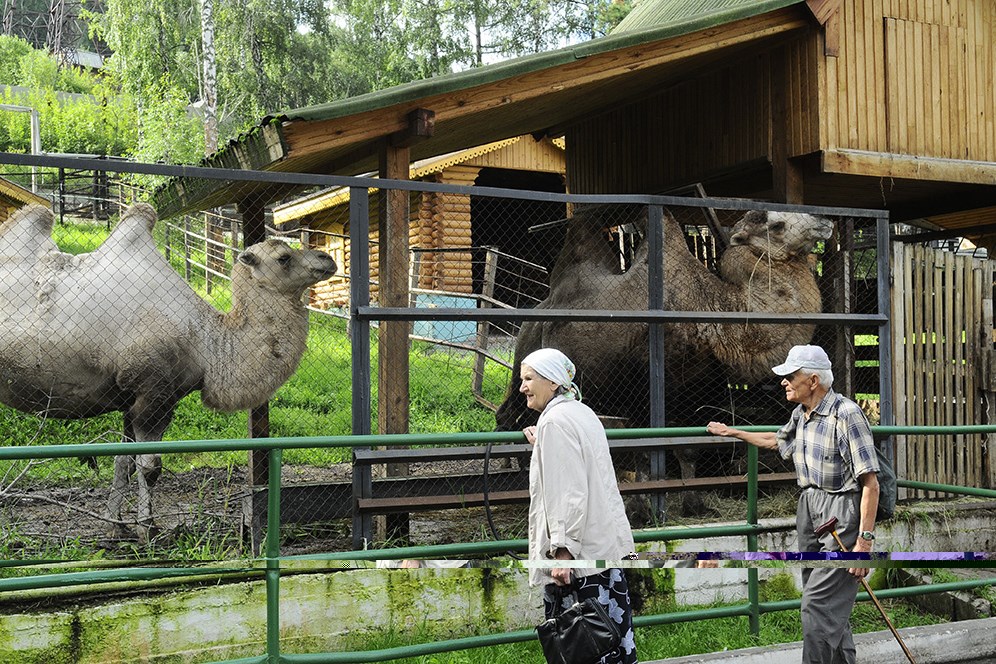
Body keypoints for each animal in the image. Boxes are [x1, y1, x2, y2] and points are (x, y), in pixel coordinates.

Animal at [0, 205, 338, 544]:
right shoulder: (153, 392)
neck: (204, 341)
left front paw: (115, 526)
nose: (327, 259)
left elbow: (122, 462)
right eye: (284, 257)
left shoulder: (135, 399)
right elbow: (149, 466)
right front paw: (148, 529)